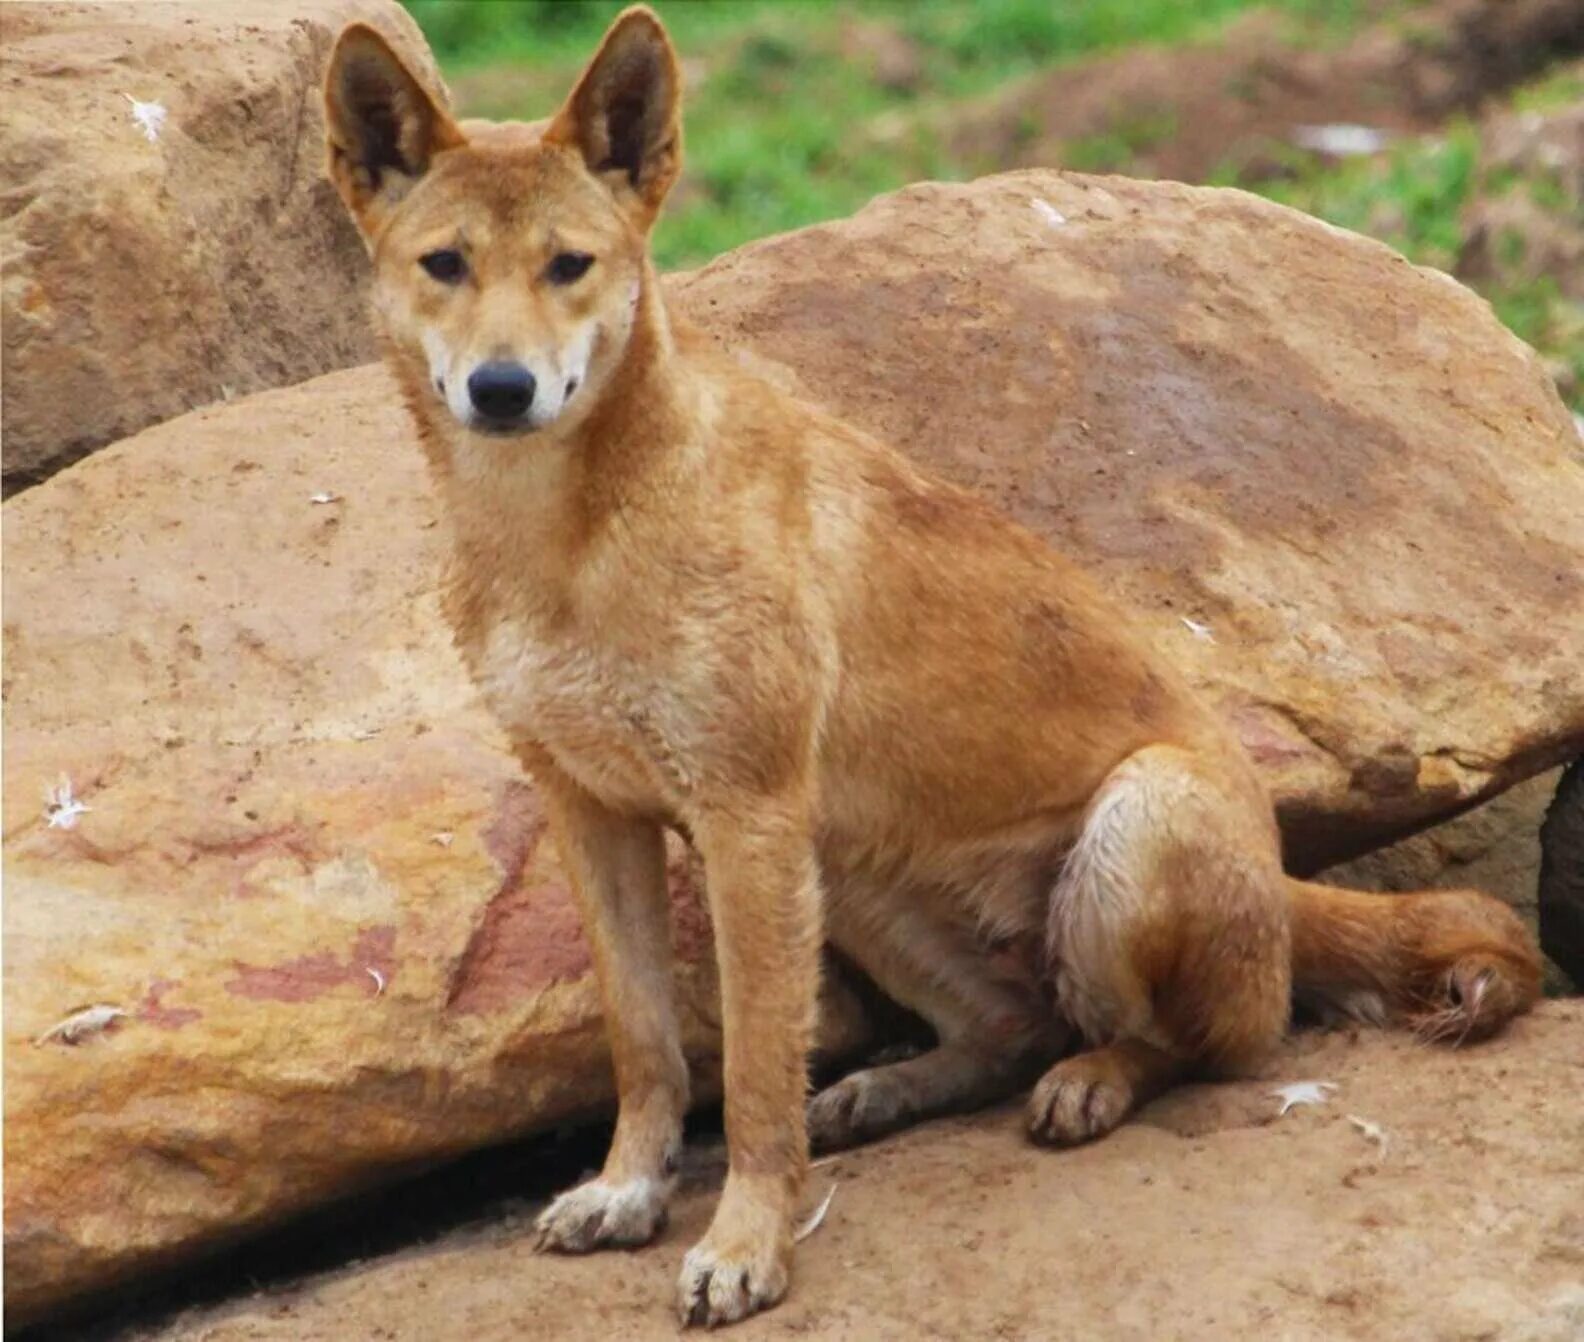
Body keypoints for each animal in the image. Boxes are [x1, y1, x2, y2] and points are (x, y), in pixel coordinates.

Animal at [327, 10, 1539, 1330]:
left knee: (1206, 1042)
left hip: (1129, 827)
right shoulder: (595, 812)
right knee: (1014, 1022)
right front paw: (628, 1191)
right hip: (850, 871)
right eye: (445, 264)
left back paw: (1092, 1084)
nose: (503, 389)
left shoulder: (746, 816)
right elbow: (647, 1045)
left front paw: (746, 1245)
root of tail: (1281, 873)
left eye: (570, 266)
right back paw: (890, 1090)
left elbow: (752, 1078)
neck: (562, 540)